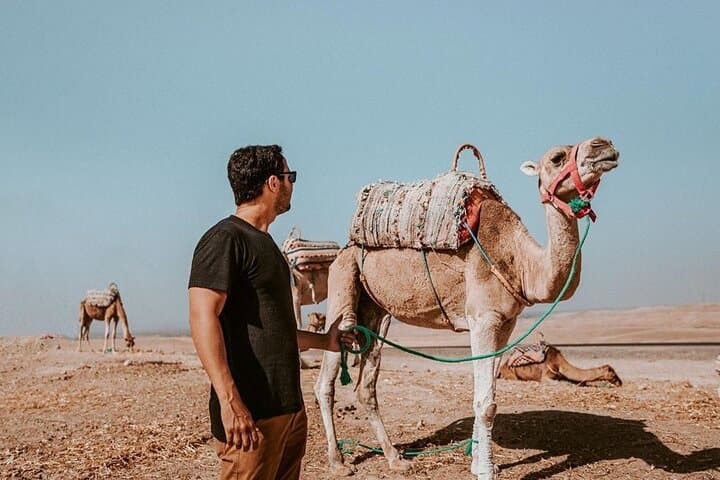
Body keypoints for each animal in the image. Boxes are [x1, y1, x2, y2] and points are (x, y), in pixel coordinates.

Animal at [314, 137, 619, 479]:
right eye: (557, 157)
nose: (603, 145)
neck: (521, 262)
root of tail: (344, 248)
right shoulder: (483, 319)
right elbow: (486, 403)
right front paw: (486, 470)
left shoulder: (506, 324)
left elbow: (485, 393)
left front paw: (478, 462)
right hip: (342, 284)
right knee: (326, 380)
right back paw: (338, 460)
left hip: (376, 311)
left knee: (366, 384)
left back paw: (395, 457)